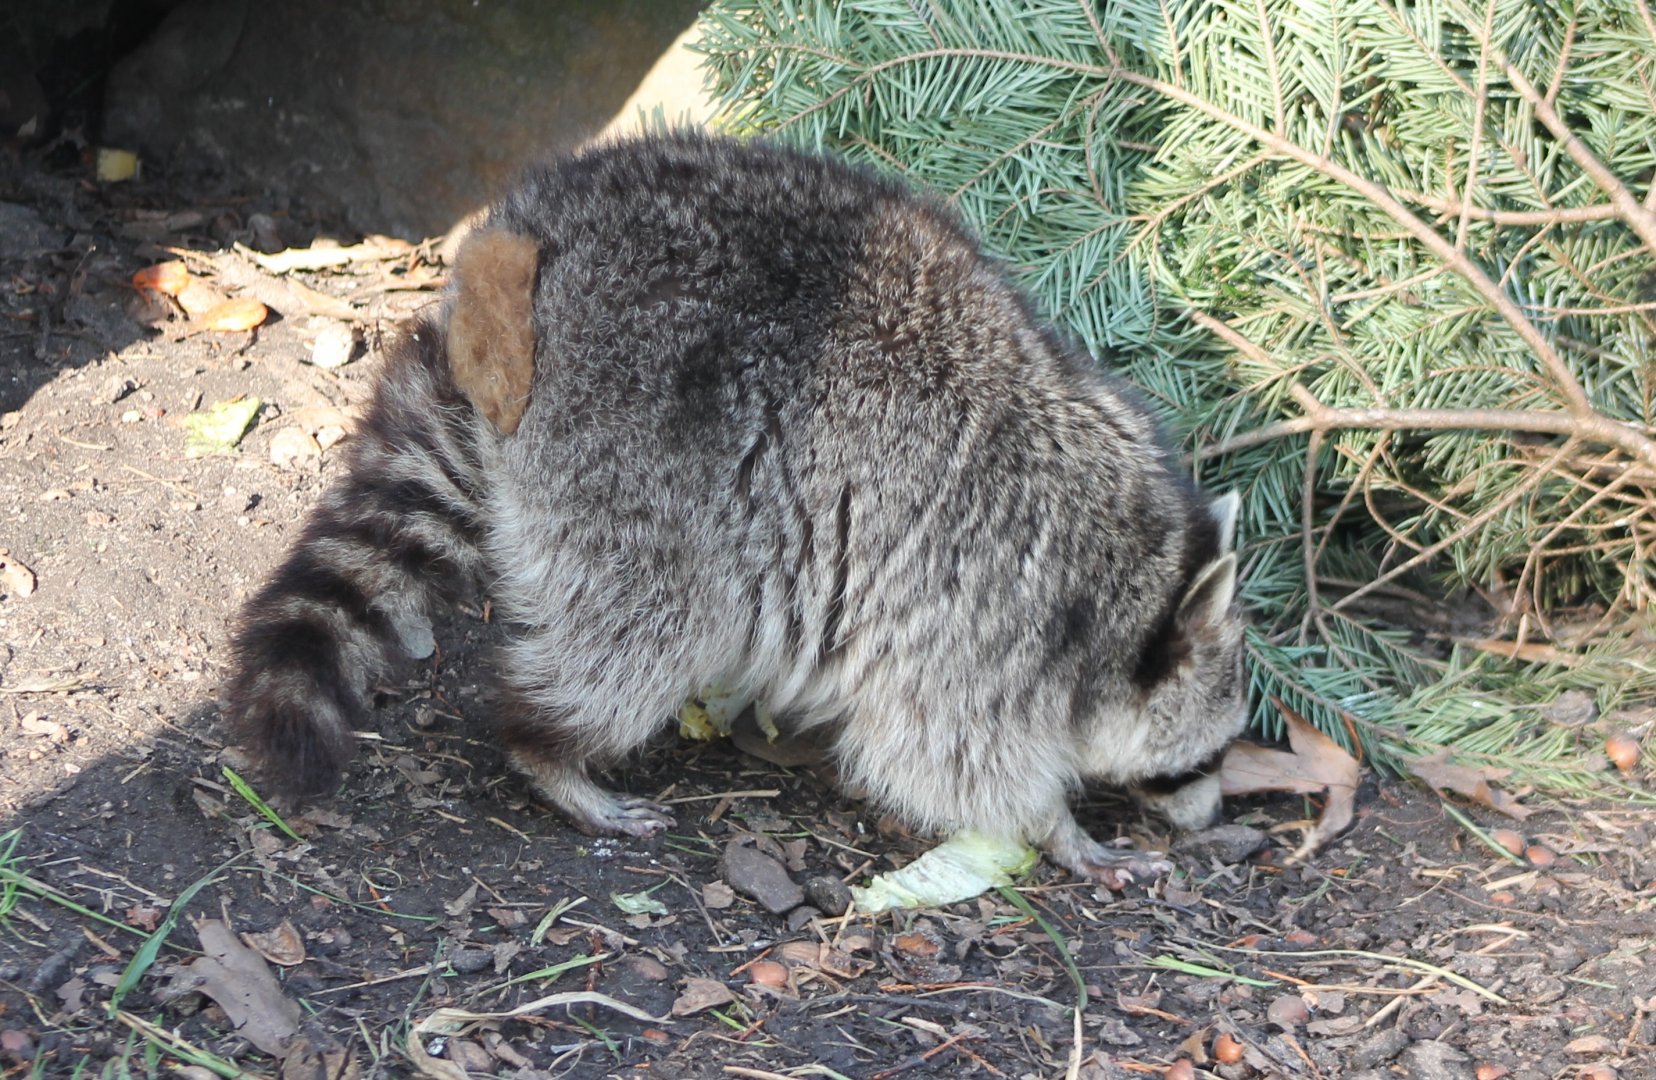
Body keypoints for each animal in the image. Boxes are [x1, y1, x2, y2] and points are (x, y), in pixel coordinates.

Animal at [223, 132, 1249, 883]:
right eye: (1201, 758)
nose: (1211, 817)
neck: (1128, 581)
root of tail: (524, 245)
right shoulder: (985, 613)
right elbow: (946, 756)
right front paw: (1058, 827)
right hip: (633, 456)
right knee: (640, 633)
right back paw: (549, 746)